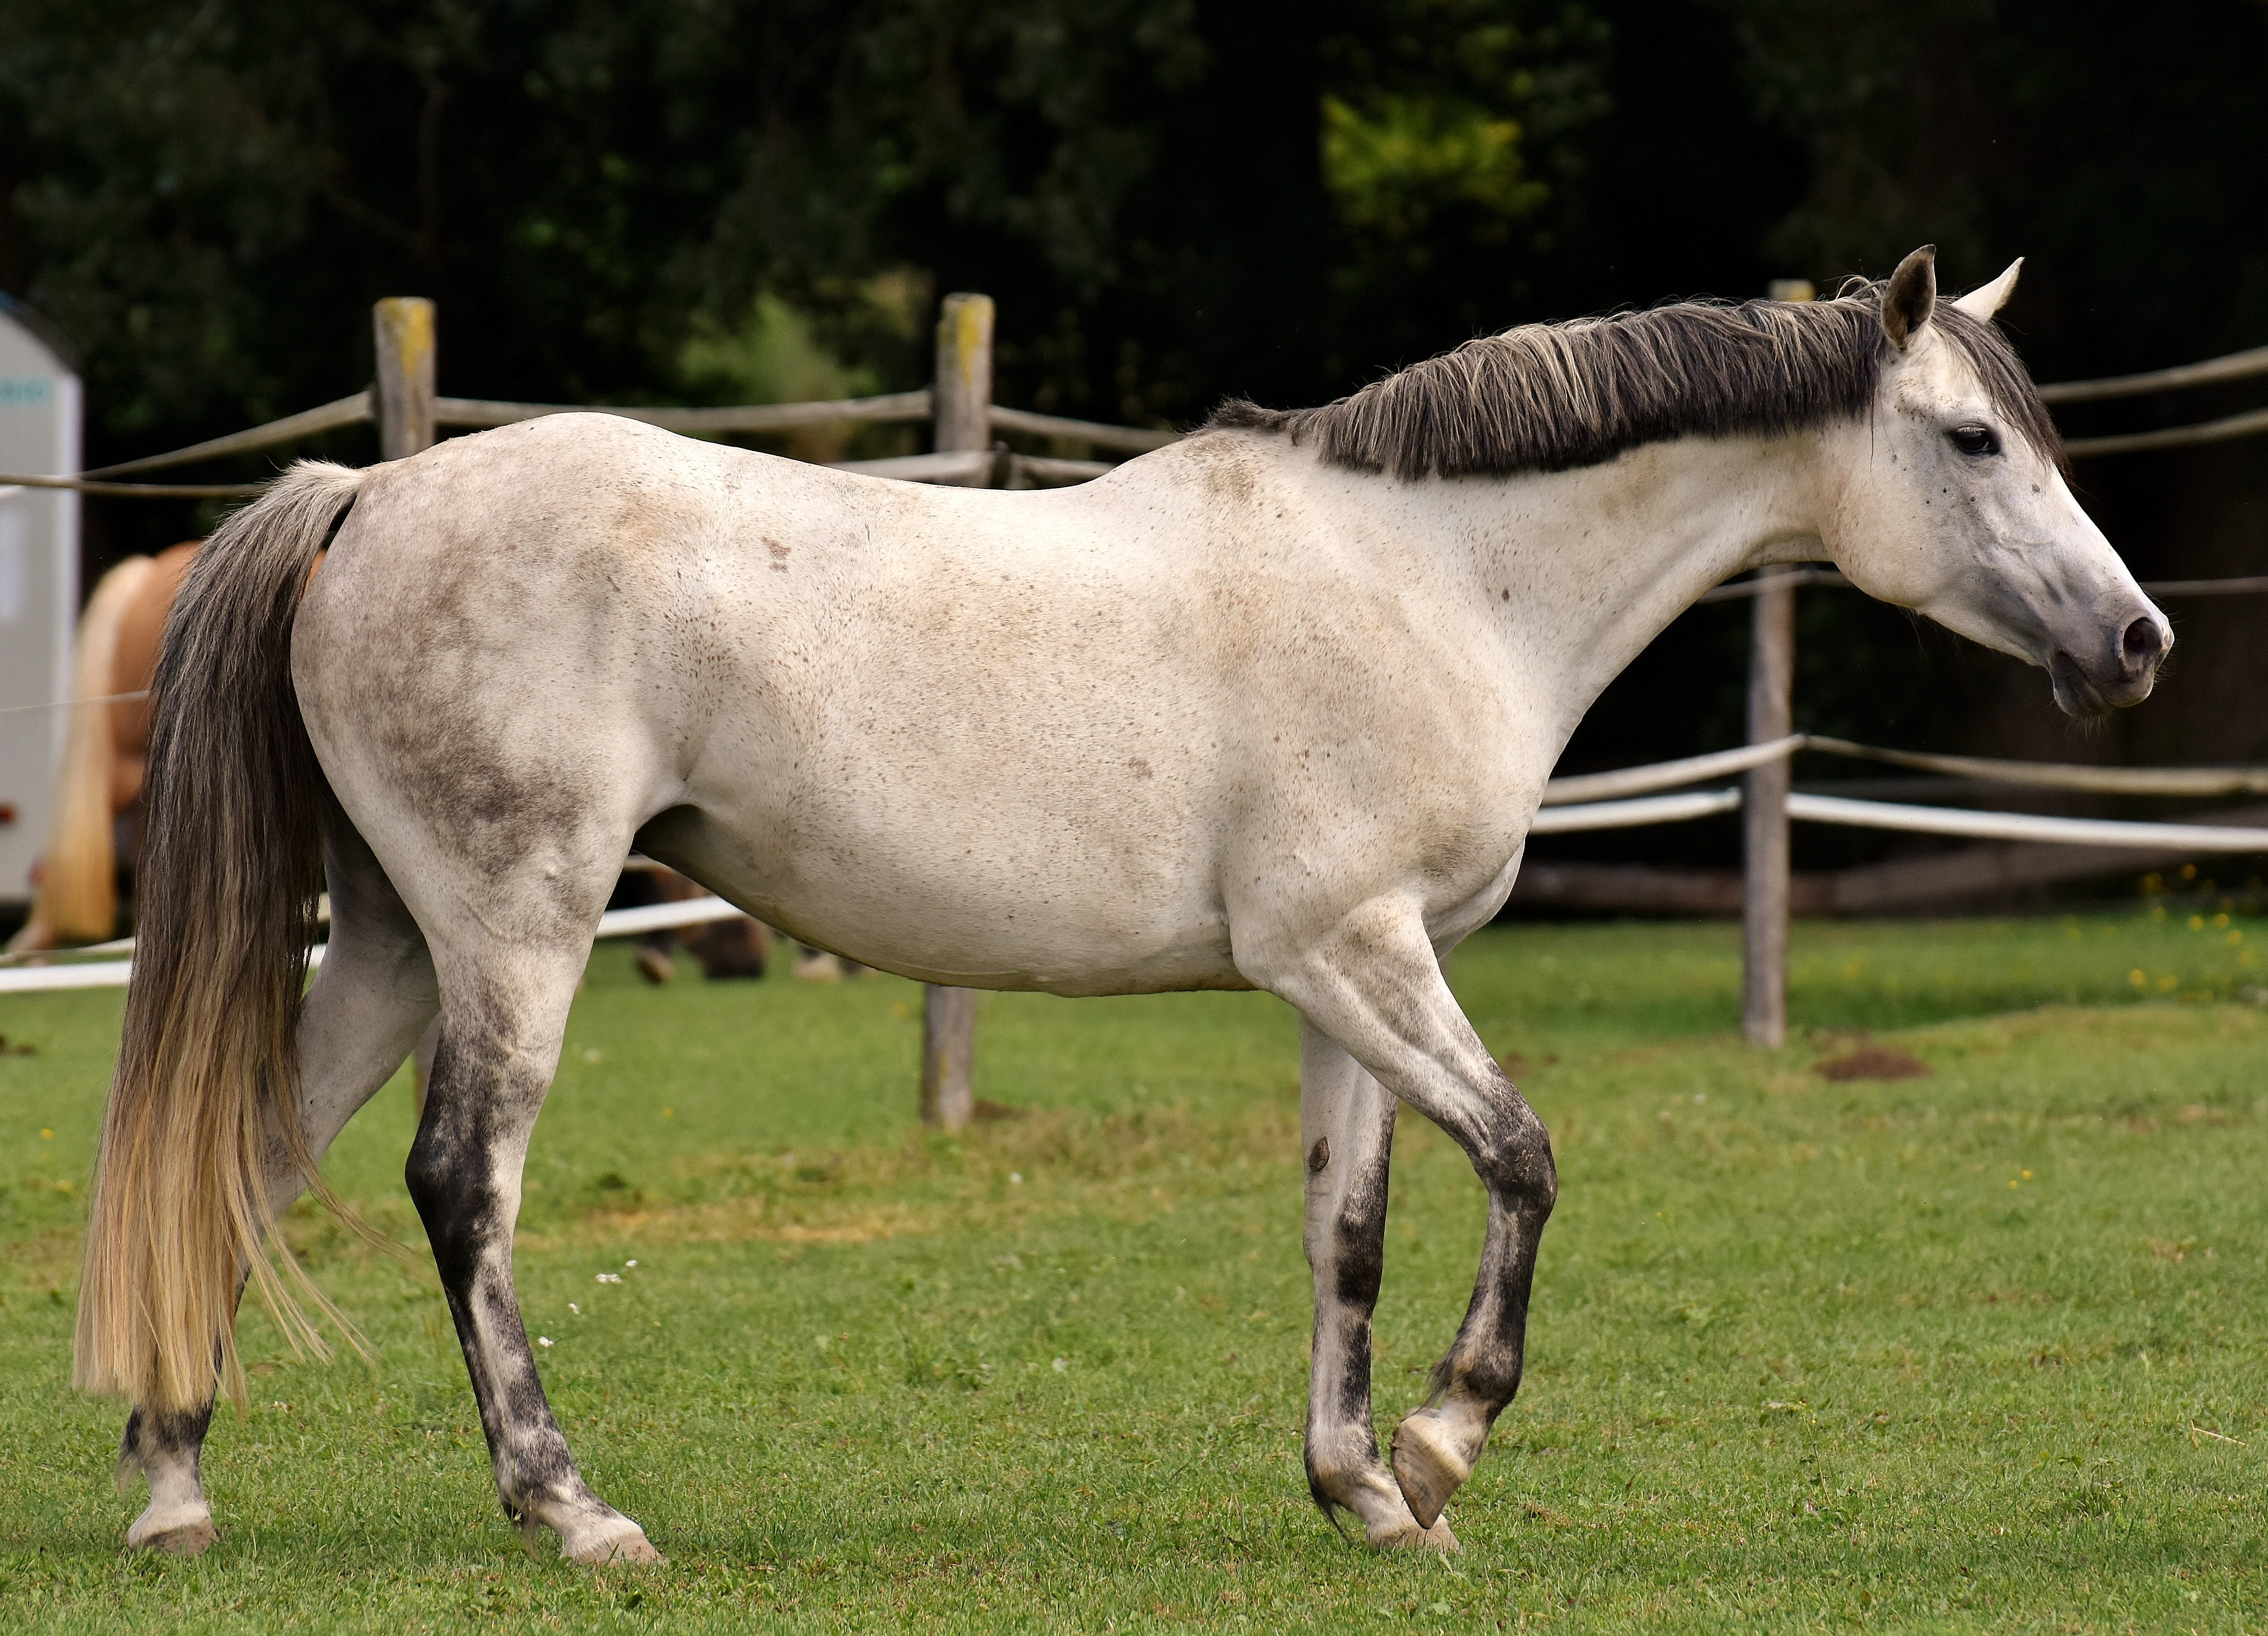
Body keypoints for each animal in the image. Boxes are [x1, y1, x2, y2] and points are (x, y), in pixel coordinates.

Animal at [77, 248, 2168, 1562]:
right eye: (1971, 442)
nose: (2136, 641)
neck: (1436, 576)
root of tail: (365, 496)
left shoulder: (1343, 972)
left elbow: (1349, 1229)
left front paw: (1361, 1489)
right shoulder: (1354, 949)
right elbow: (1522, 1156)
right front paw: (1442, 1437)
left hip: (393, 941)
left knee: (248, 1163)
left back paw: (173, 1488)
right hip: (515, 930)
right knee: (464, 1187)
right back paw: (571, 1509)